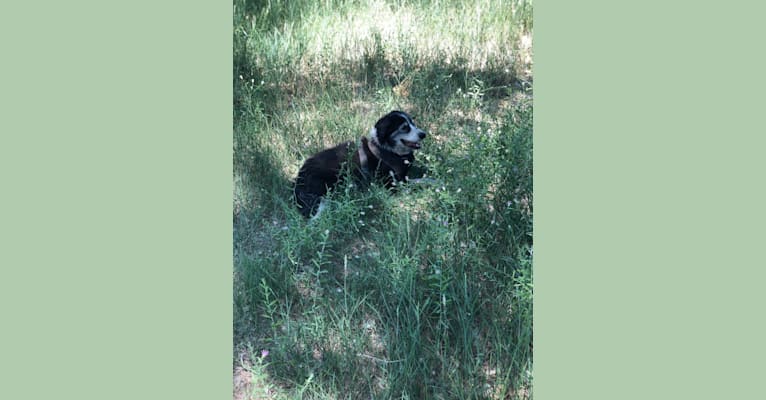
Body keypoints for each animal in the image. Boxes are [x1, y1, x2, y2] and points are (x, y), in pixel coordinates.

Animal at [292, 111, 426, 219]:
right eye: (404, 127)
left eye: (413, 123)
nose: (423, 134)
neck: (386, 149)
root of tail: (299, 180)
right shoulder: (392, 185)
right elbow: (419, 183)